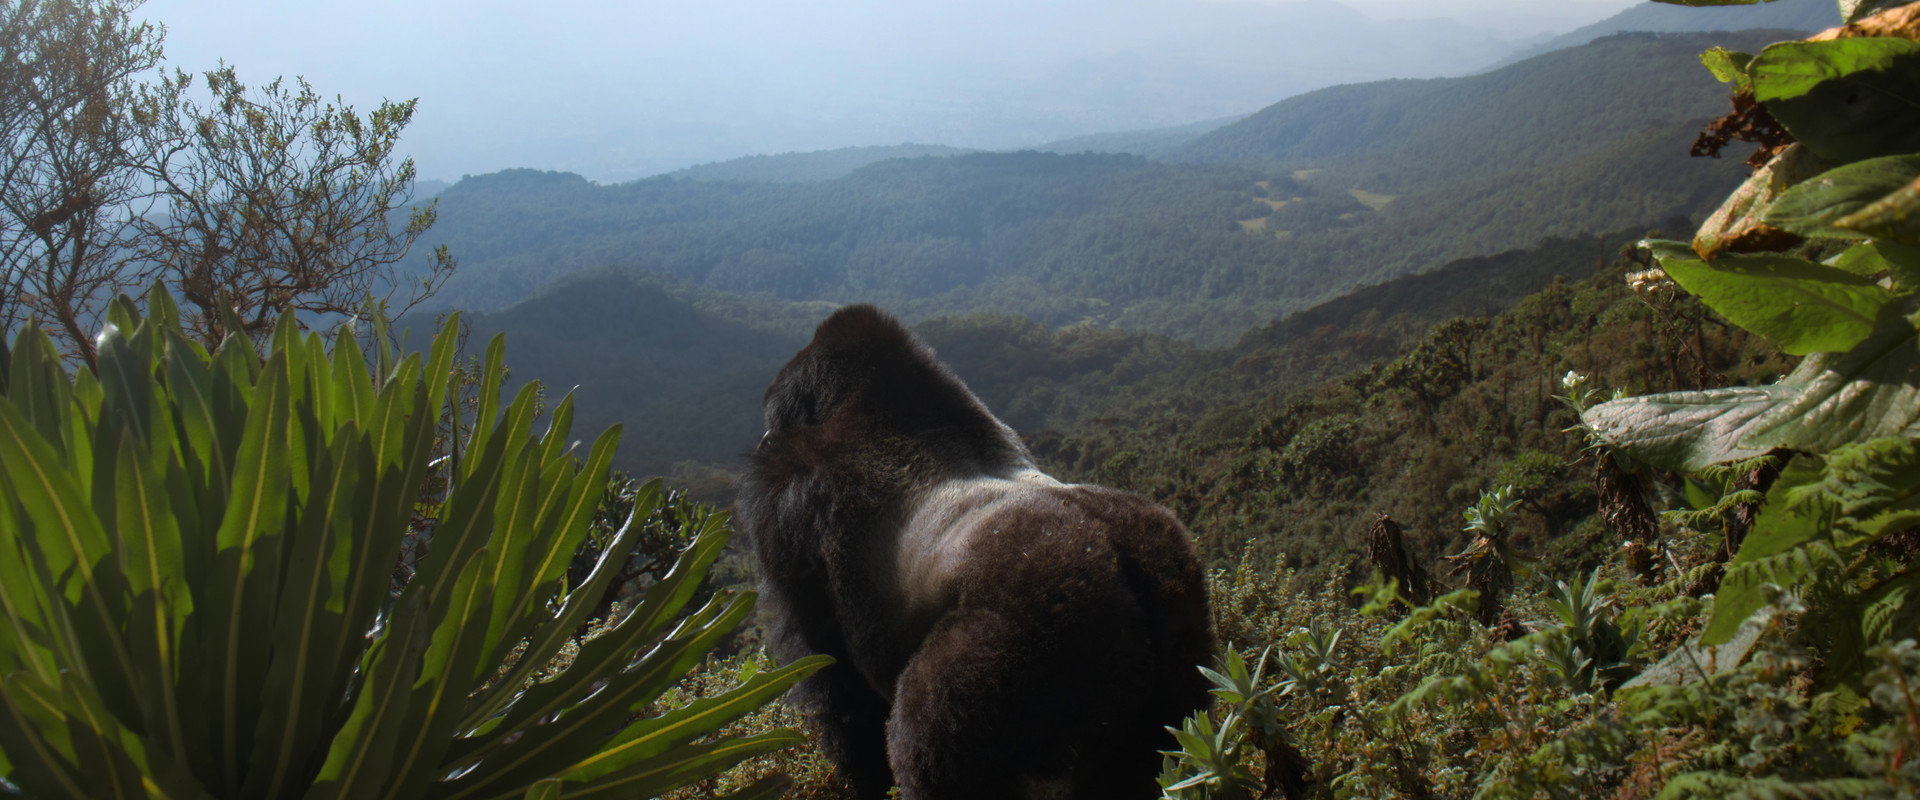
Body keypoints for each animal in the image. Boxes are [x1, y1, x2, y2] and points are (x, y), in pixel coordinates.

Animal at [737, 305, 1213, 799]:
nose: (763, 439)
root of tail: (1122, 554)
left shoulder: (788, 497)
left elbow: (832, 673)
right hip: (1177, 598)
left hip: (1029, 624)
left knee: (928, 738)